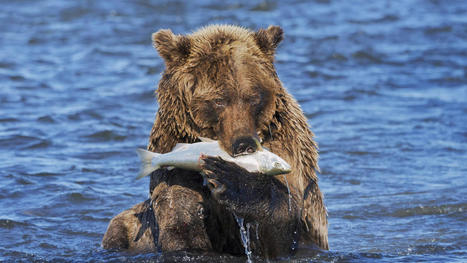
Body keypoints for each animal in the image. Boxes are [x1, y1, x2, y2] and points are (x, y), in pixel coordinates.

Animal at [102, 24, 330, 260]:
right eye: (219, 100)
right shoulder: (174, 162)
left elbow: (283, 222)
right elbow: (180, 218)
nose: (245, 144)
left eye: (253, 97)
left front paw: (230, 178)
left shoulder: (284, 146)